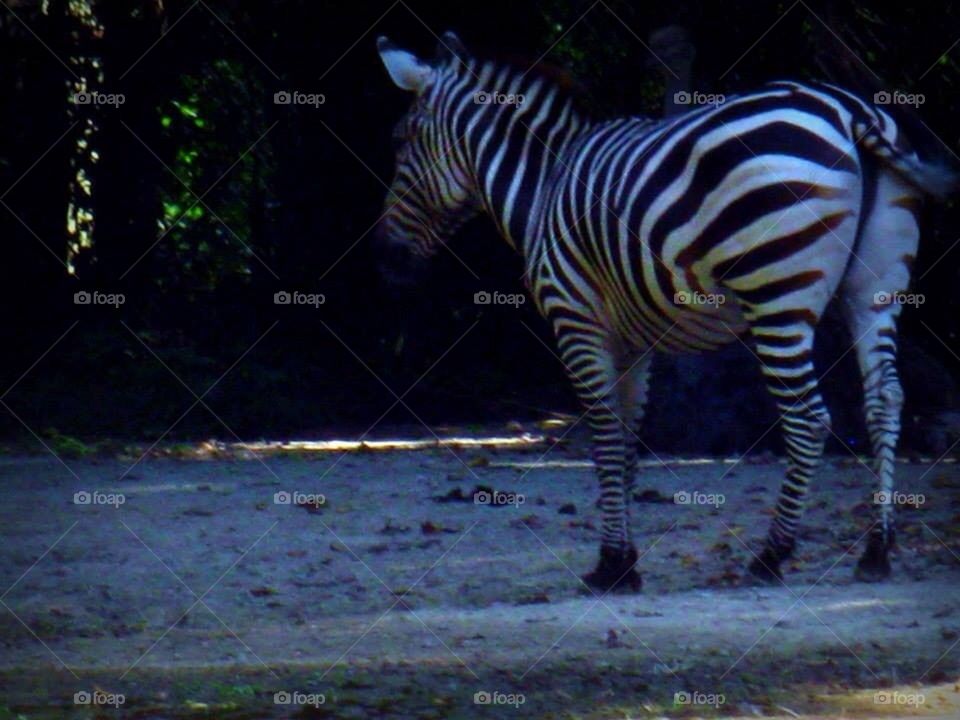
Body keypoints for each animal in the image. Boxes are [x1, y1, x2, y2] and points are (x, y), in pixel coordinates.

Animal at [374, 31, 957, 591]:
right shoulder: (633, 338)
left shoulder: (576, 317)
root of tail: (849, 111)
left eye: (401, 140)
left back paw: (771, 555)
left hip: (777, 293)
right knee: (885, 400)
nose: (386, 258)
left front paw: (612, 565)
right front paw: (624, 560)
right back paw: (877, 550)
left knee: (809, 419)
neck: (544, 185)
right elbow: (628, 440)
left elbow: (605, 436)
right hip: (875, 288)